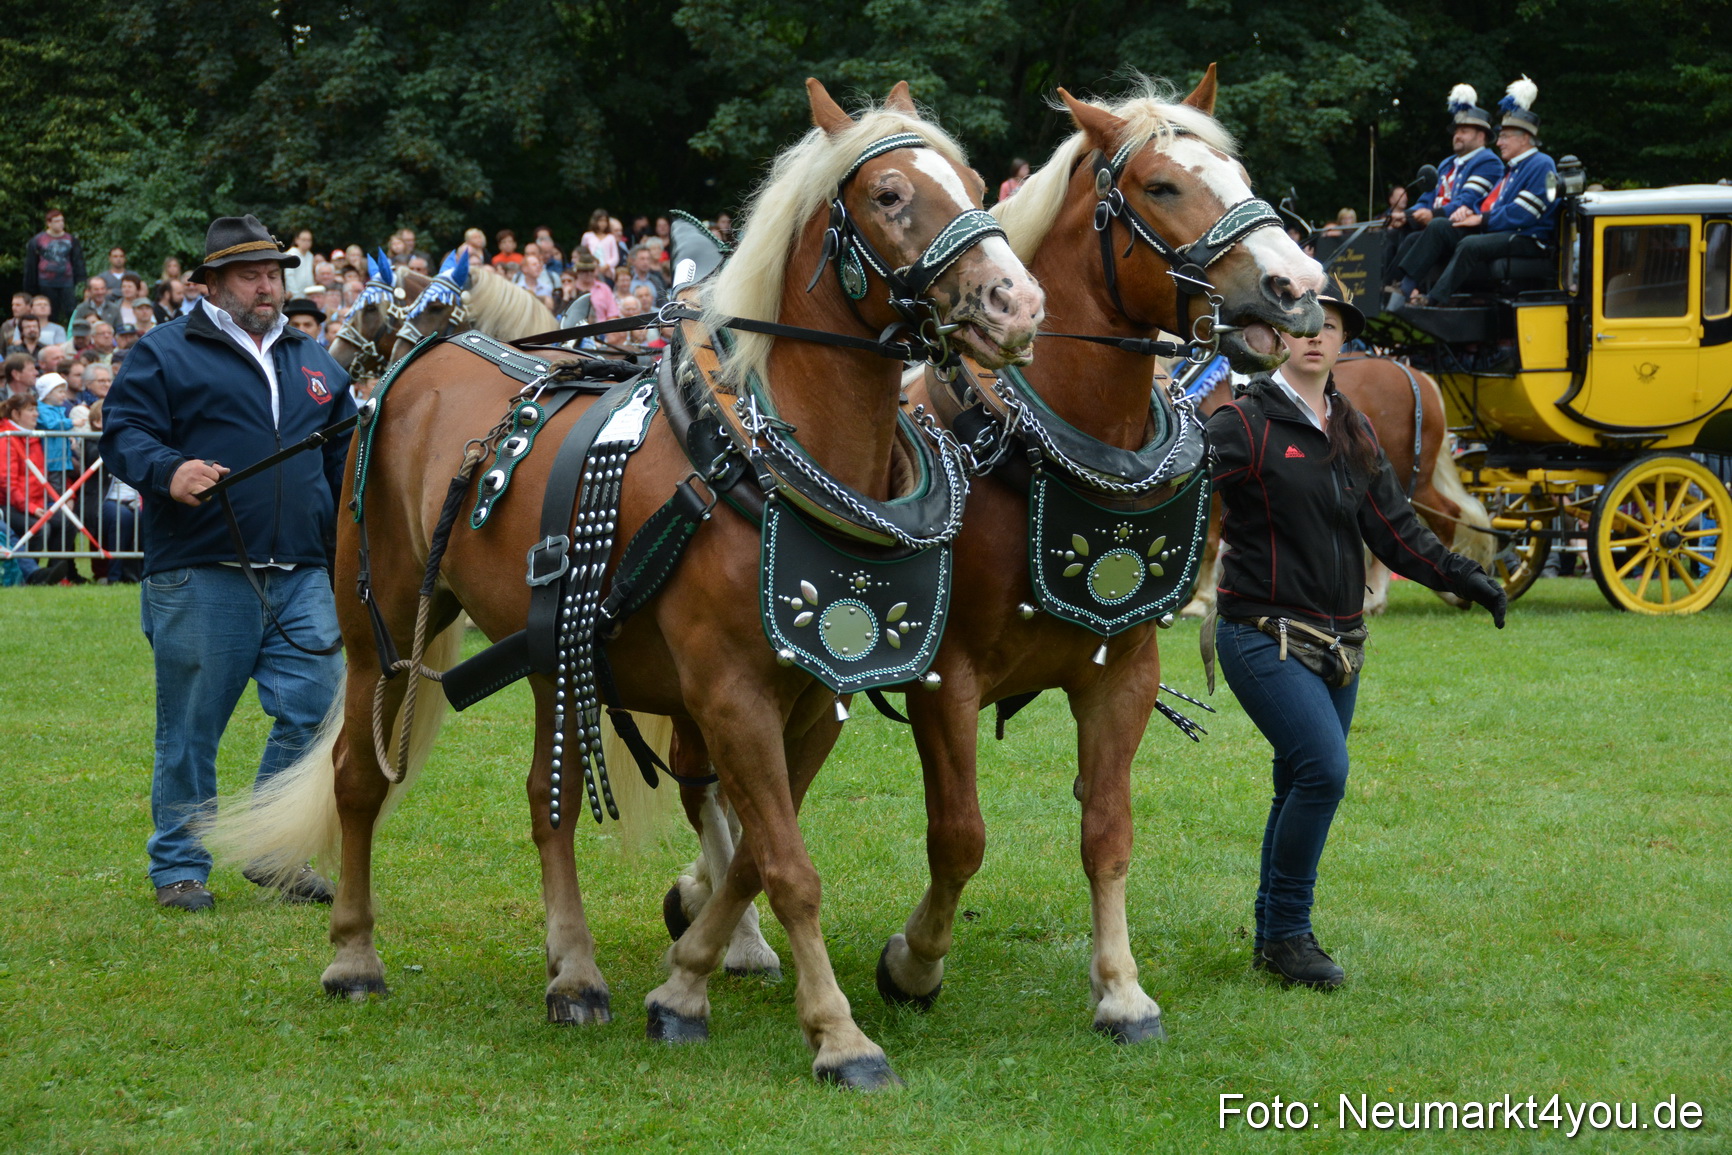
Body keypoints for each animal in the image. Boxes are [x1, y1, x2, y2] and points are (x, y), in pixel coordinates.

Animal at [205, 78, 1043, 1091]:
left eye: (974, 184)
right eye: (889, 195)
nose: (1017, 302)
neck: (758, 462)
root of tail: (416, 368)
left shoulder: (811, 700)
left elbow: (756, 855)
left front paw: (686, 982)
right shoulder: (730, 694)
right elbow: (788, 864)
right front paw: (839, 1035)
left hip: (549, 649)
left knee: (548, 798)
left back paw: (574, 972)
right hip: (384, 631)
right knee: (358, 779)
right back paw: (355, 955)